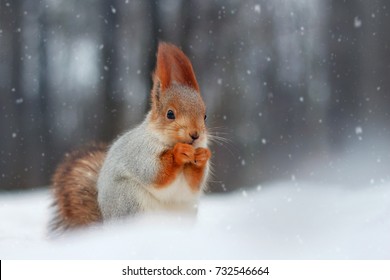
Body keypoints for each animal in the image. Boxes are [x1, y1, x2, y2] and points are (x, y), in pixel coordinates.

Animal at [51, 42, 212, 232]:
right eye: (170, 114)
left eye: (205, 116)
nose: (195, 135)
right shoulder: (138, 152)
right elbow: (153, 171)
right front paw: (179, 152)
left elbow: (194, 183)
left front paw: (202, 156)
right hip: (129, 200)